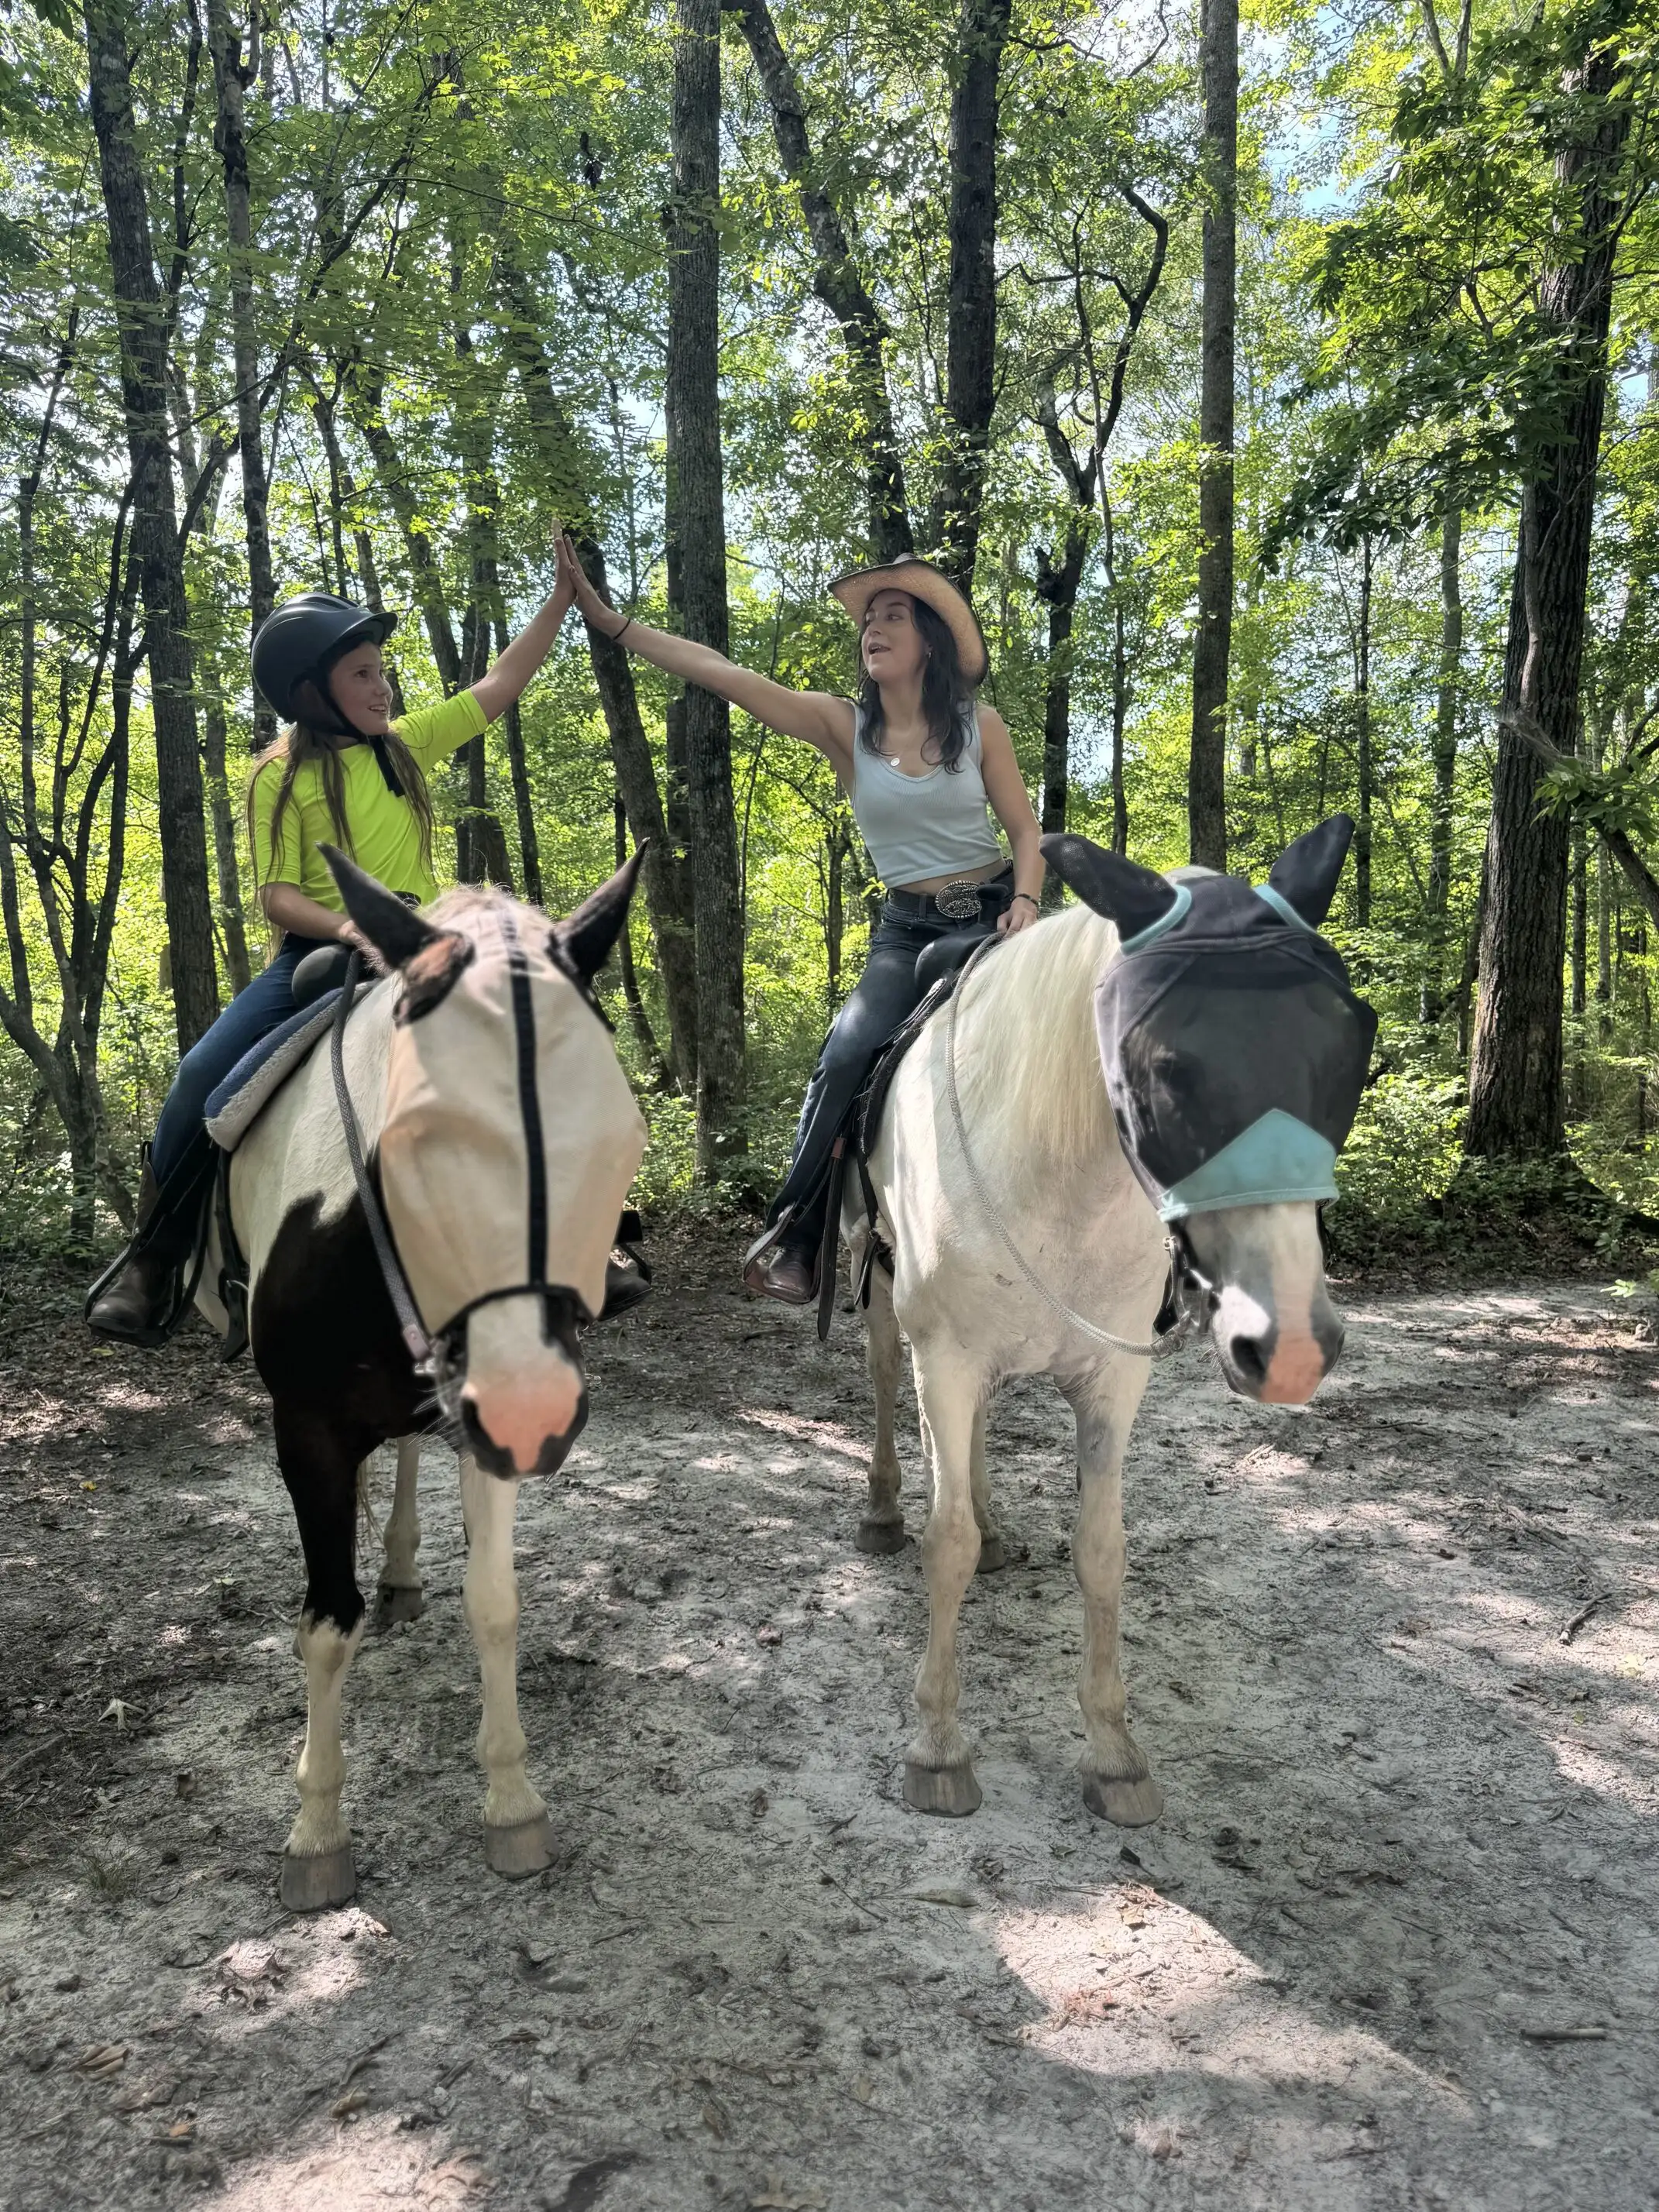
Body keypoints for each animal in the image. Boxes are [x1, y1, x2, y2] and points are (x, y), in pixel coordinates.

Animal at [195, 849, 647, 1909]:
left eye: (619, 1132)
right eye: (414, 1138)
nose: (533, 1411)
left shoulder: (486, 1406)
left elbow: (496, 1603)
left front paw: (512, 1803)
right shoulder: (308, 1427)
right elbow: (326, 1623)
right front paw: (316, 1830)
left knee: (404, 1452)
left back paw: (399, 1568)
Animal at [847, 818, 1375, 1824]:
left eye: (1347, 1051)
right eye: (1164, 1063)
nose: (1288, 1345)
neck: (1058, 1174)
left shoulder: (1111, 1379)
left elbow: (1100, 1549)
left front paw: (1114, 1753)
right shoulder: (949, 1355)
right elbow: (946, 1545)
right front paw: (937, 1745)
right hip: (887, 1286)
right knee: (889, 1381)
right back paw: (885, 1507)